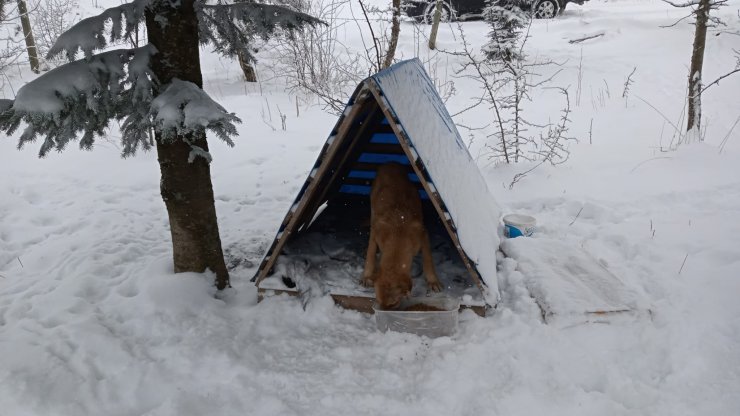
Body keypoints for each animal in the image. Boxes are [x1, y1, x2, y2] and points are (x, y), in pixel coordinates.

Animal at [362, 162, 442, 308]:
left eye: (393, 304)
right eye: (379, 302)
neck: (398, 238)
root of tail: (390, 163)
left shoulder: (423, 235)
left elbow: (428, 260)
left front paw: (433, 281)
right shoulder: (376, 232)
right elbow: (370, 253)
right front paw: (367, 275)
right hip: (373, 209)